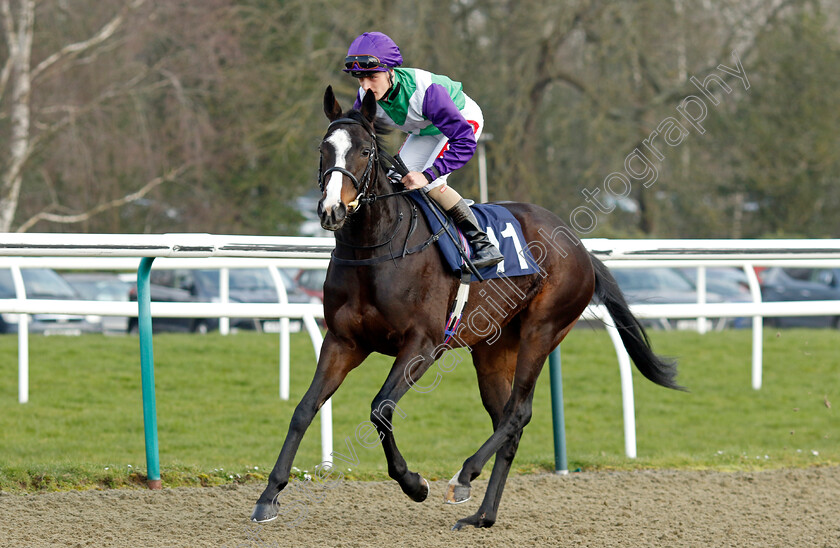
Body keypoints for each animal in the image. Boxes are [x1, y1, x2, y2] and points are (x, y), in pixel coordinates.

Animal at [251, 86, 684, 532]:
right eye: (324, 148)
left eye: (365, 151)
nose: (331, 210)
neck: (376, 250)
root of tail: (579, 246)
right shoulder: (342, 342)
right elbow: (304, 409)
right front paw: (269, 496)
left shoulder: (422, 345)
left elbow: (380, 408)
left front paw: (414, 483)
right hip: (493, 349)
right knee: (508, 419)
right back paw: (483, 515)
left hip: (542, 331)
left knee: (517, 413)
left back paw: (463, 476)